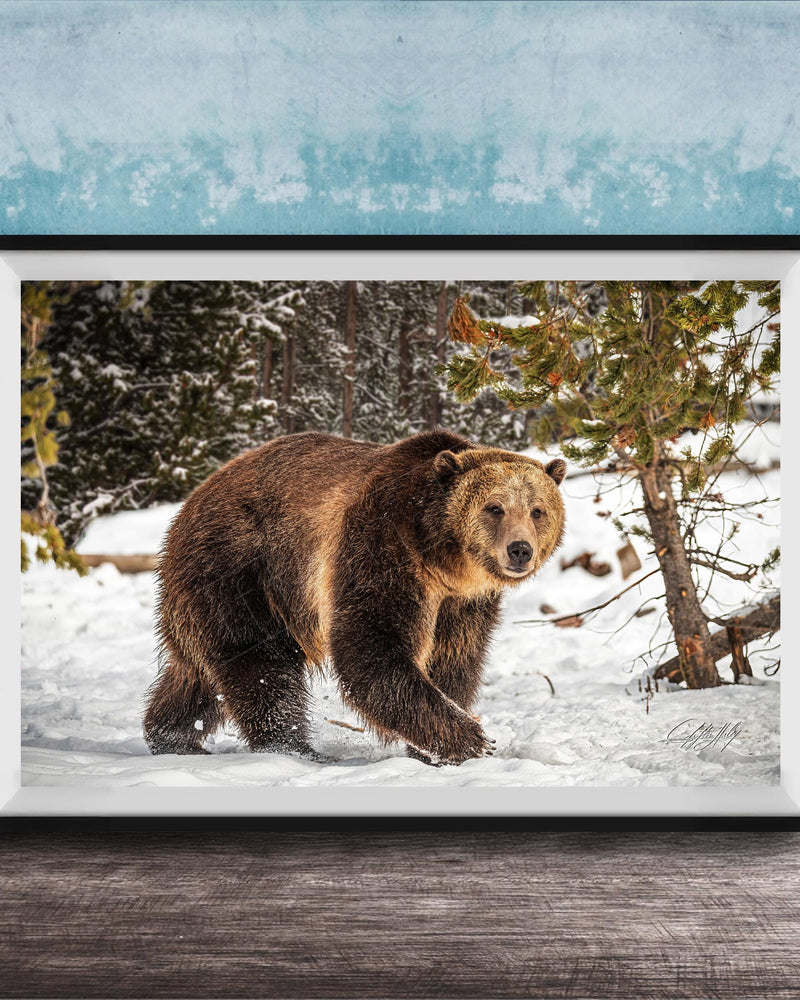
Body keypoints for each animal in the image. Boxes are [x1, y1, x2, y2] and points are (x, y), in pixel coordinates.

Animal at [143, 429, 566, 766]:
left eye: (537, 510)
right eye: (494, 507)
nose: (520, 550)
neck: (441, 560)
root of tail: (193, 499)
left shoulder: (463, 602)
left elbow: (453, 658)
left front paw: (435, 747)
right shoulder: (381, 547)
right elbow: (370, 647)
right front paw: (471, 740)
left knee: (196, 675)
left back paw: (170, 735)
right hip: (242, 567)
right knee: (259, 662)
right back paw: (294, 747)